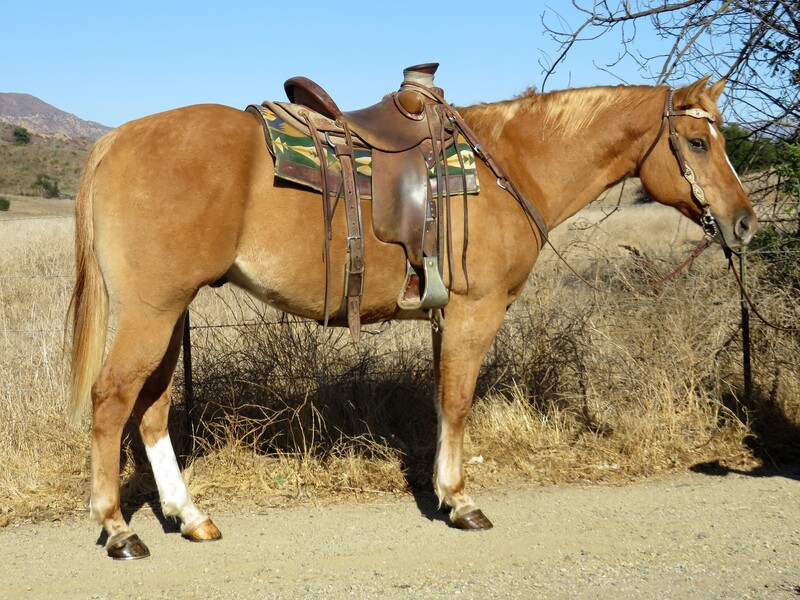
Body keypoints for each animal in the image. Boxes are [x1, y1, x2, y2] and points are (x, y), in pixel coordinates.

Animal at [68, 74, 756, 559]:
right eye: (698, 143)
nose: (746, 223)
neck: (510, 165)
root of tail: (115, 139)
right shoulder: (476, 311)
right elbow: (456, 400)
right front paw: (458, 500)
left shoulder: (444, 318)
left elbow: (440, 398)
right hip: (151, 313)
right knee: (111, 401)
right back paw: (118, 529)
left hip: (168, 313)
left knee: (150, 409)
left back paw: (189, 516)